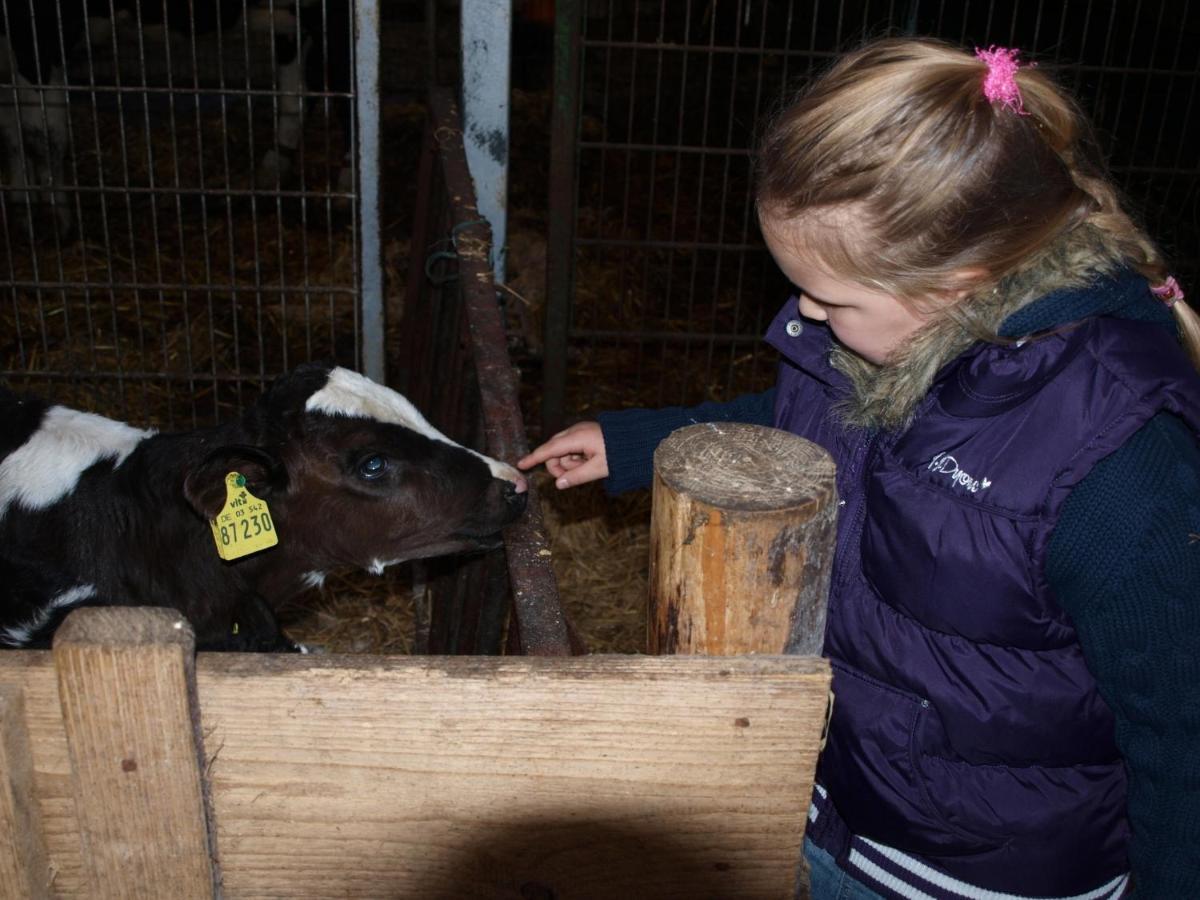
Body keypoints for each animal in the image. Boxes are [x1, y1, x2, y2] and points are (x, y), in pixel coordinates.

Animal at [0, 0, 352, 236]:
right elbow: (13, 131)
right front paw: (22, 206)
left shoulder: (36, 29)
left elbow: (44, 135)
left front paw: (56, 219)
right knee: (299, 83)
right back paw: (273, 169)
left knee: (342, 86)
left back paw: (345, 189)